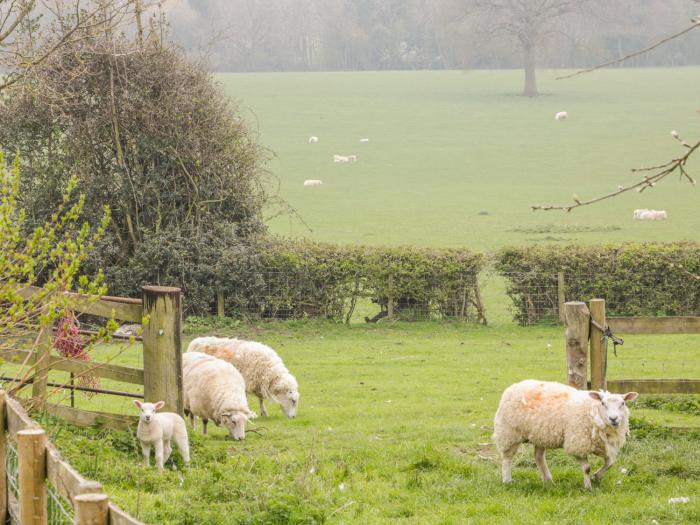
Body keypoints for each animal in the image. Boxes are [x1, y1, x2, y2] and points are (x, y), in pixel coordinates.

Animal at [494, 378, 636, 490]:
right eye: (603, 403)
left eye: (623, 403)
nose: (614, 418)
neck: (591, 411)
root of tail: (515, 386)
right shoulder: (577, 444)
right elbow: (586, 468)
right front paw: (588, 487)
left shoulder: (605, 446)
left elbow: (610, 462)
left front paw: (597, 477)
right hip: (509, 432)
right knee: (507, 458)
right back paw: (507, 481)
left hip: (540, 434)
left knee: (539, 457)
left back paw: (549, 481)